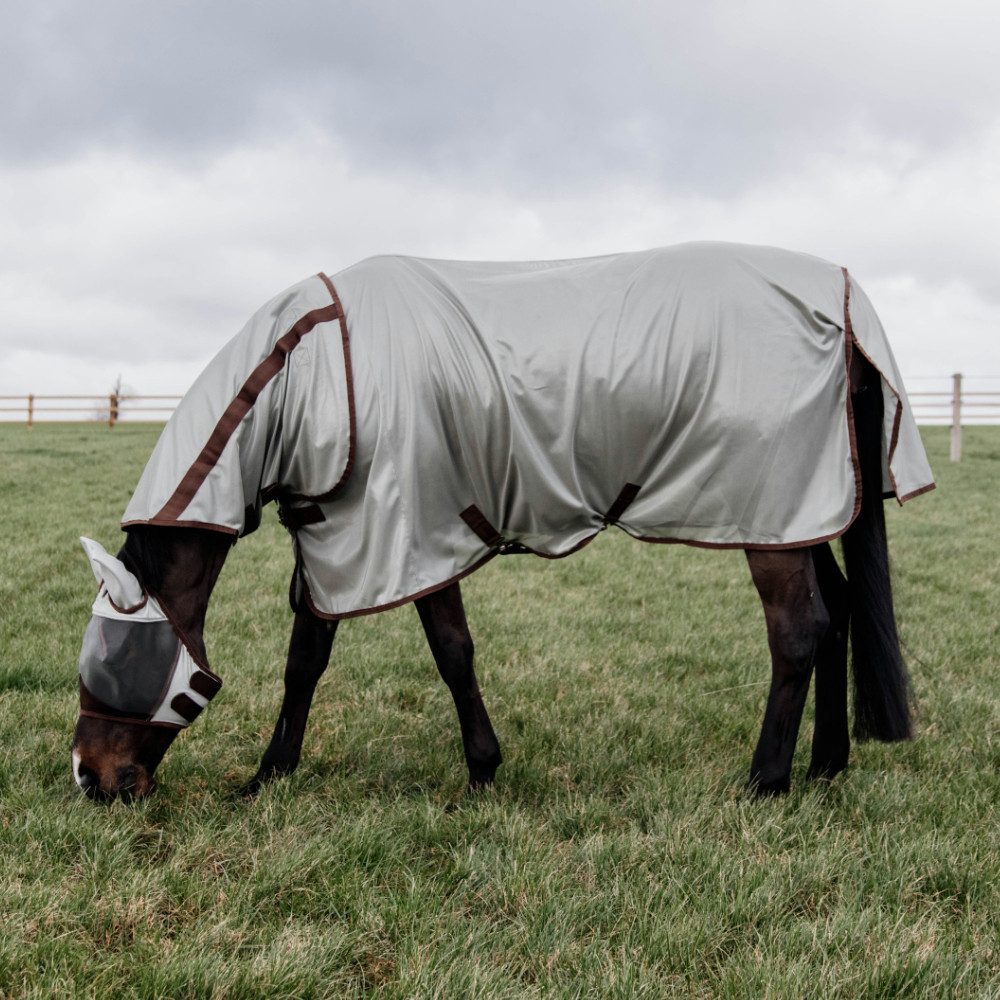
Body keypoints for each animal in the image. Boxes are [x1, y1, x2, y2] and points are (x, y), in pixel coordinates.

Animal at [71, 243, 934, 802]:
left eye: (114, 656)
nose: (90, 777)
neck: (316, 370)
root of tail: (842, 300)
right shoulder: (336, 542)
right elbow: (306, 660)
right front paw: (266, 777)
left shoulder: (411, 535)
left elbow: (450, 652)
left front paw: (482, 770)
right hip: (799, 512)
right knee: (837, 613)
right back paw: (825, 768)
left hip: (768, 521)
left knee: (798, 631)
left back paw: (766, 781)